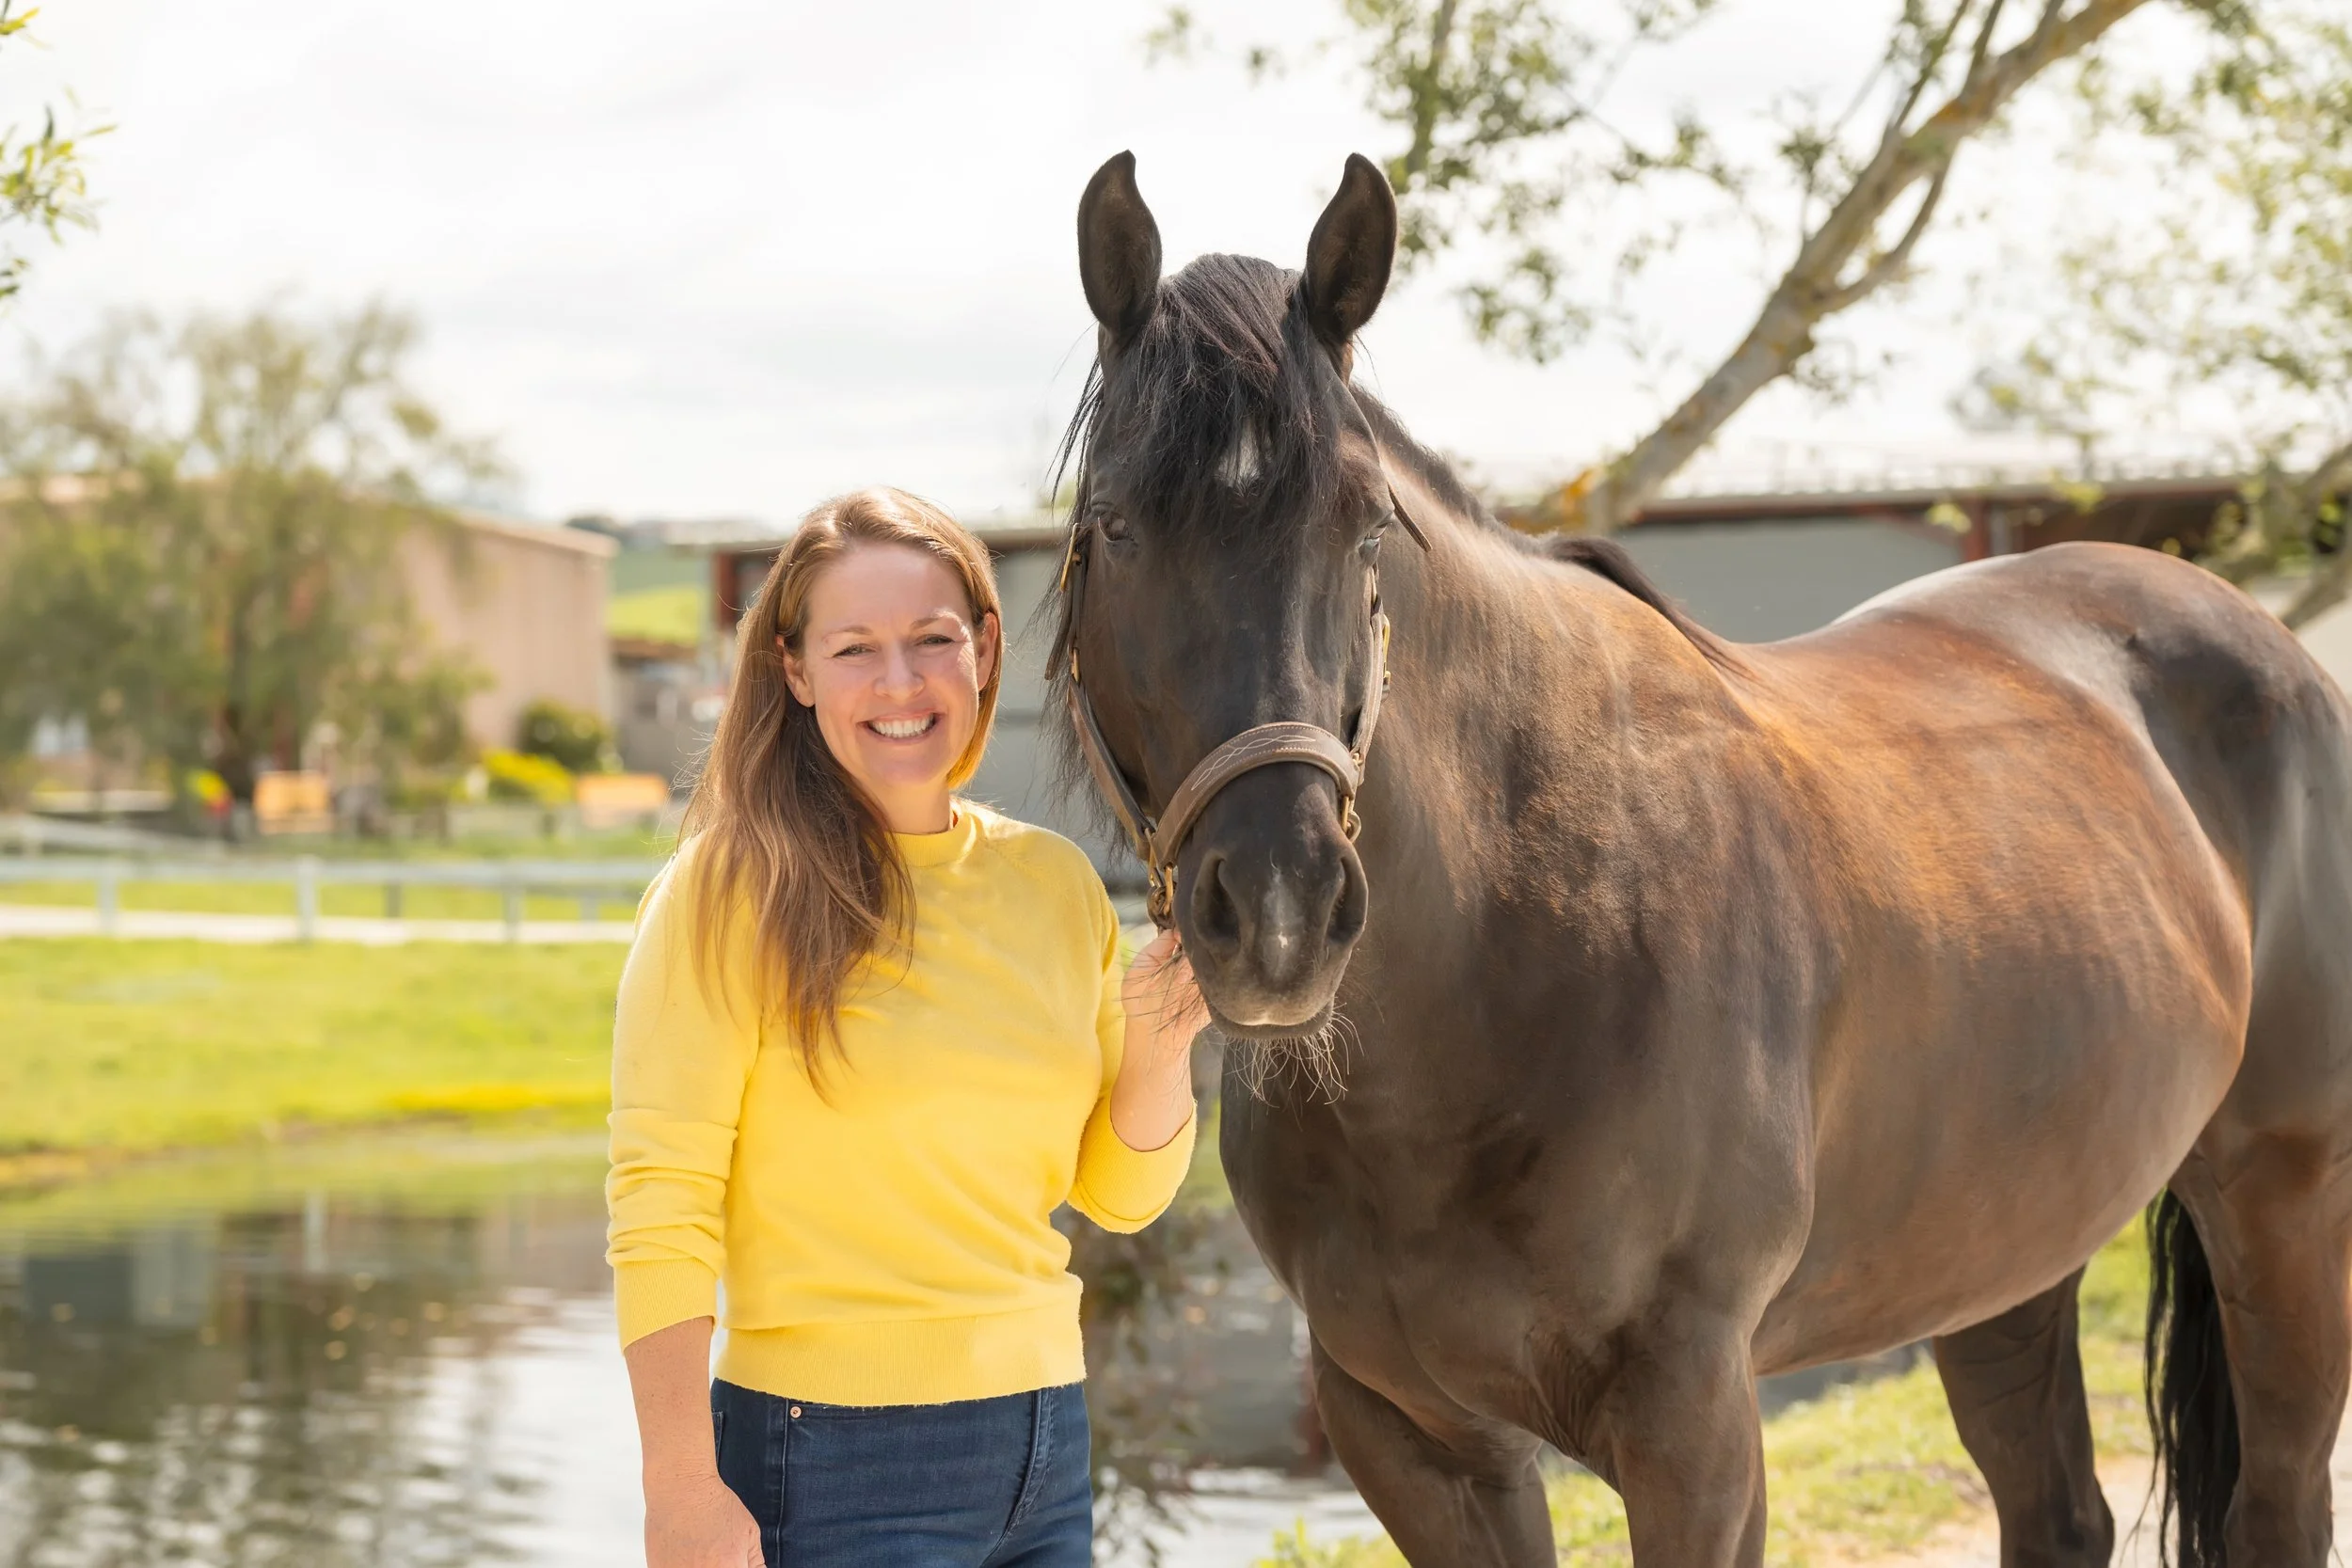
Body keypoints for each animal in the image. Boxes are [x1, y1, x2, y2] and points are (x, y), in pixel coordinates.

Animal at [1047, 151, 2352, 1567]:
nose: (1281, 908)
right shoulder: (1409, 1433)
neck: (1499, 966)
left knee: (2278, 1500)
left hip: (2285, 1203)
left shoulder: (1693, 1419)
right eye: (1114, 525)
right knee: (2057, 1510)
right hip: (2004, 1245)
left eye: (1365, 526)